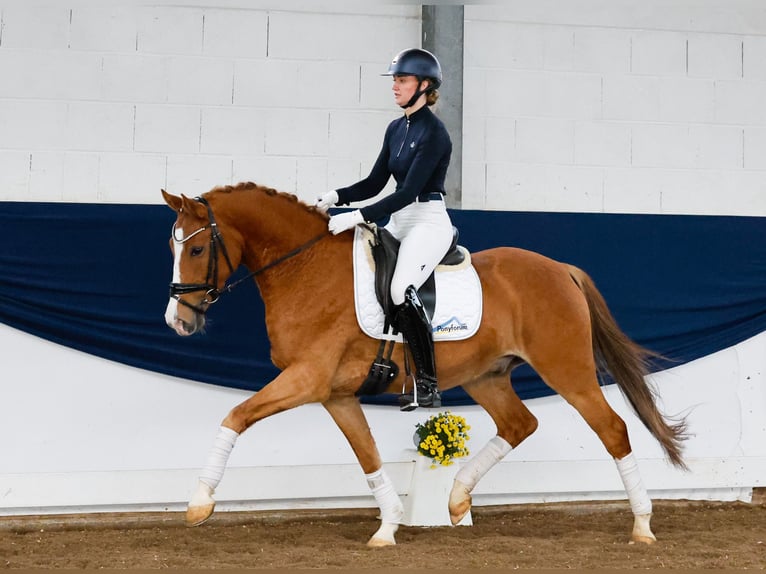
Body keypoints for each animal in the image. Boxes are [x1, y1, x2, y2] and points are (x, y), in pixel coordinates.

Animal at [162, 183, 688, 548]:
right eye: (173, 248)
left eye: (197, 249)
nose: (177, 322)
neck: (304, 268)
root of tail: (562, 269)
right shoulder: (335, 394)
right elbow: (367, 455)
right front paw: (388, 528)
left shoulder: (306, 380)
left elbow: (235, 416)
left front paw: (199, 503)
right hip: (486, 376)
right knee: (520, 424)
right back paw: (457, 500)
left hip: (568, 372)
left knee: (613, 430)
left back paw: (642, 527)